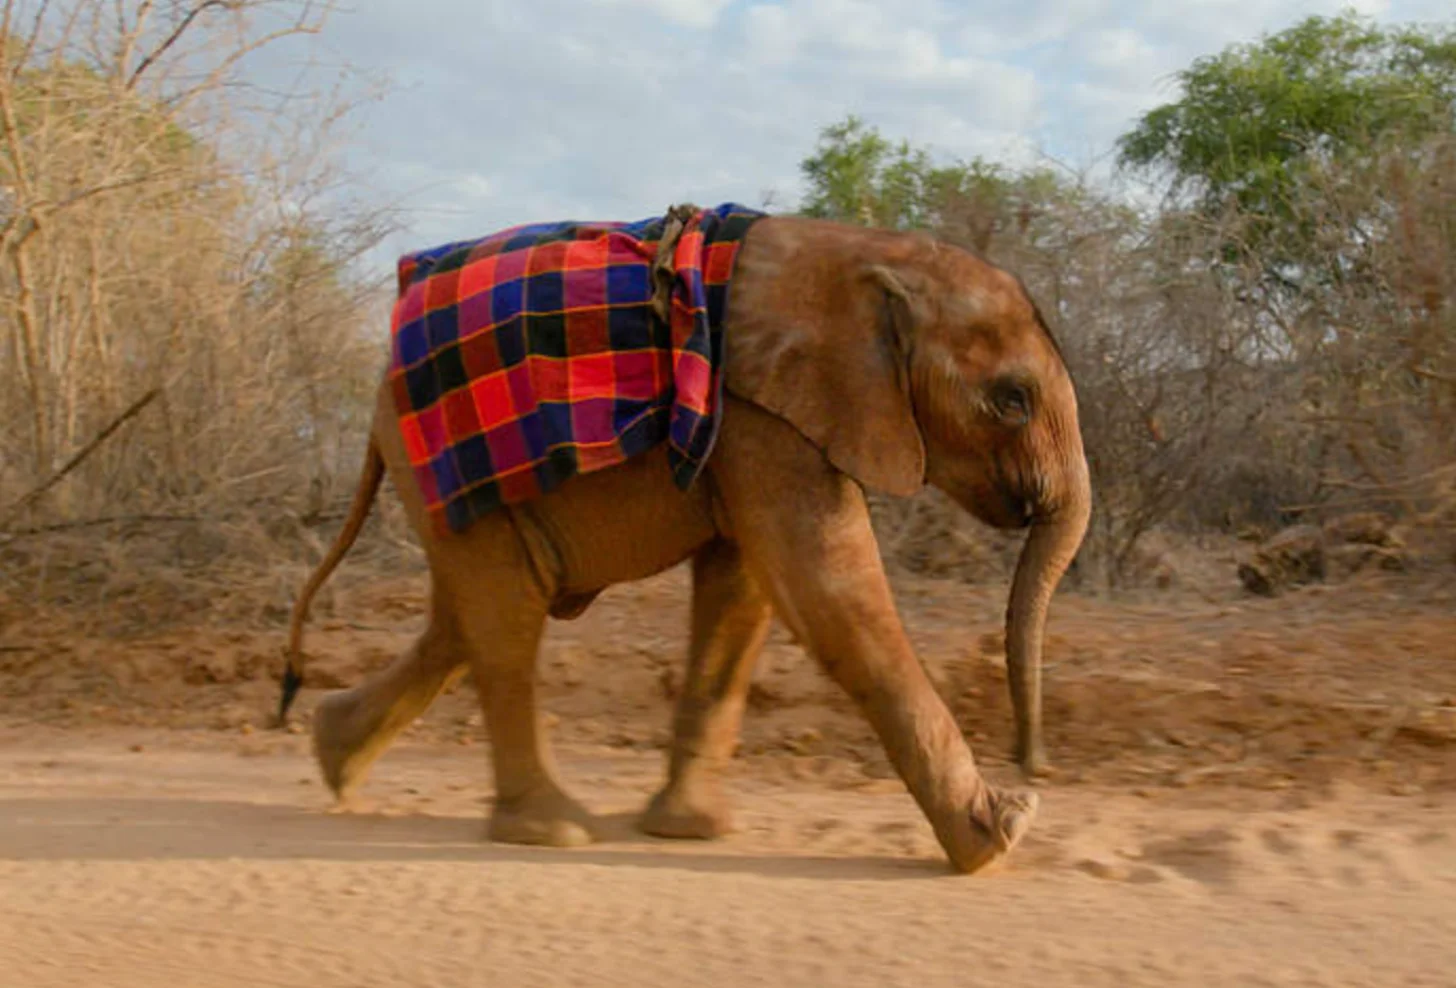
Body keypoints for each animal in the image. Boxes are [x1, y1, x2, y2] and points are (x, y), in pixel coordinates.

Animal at [279, 212, 1091, 875]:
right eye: (1012, 401)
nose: (1039, 767)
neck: (870, 252)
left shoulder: (759, 423)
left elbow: (743, 593)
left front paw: (691, 832)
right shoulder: (760, 415)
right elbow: (829, 593)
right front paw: (998, 839)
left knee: (465, 622)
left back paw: (331, 757)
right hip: (442, 455)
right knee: (506, 619)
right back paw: (552, 833)